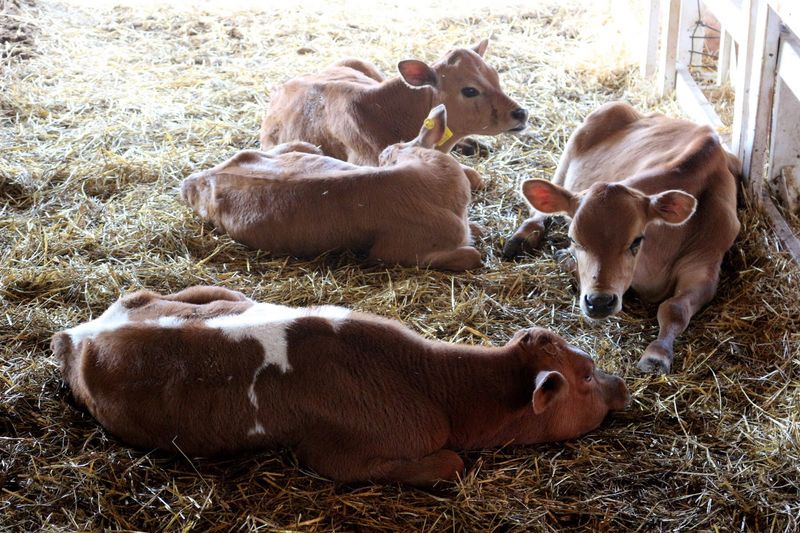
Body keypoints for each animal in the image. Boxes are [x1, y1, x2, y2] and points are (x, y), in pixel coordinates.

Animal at [503, 101, 740, 374]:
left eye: (636, 241)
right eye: (574, 239)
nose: (599, 302)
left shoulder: (705, 268)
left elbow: (675, 309)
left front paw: (657, 354)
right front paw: (566, 258)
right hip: (574, 146)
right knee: (545, 203)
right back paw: (522, 238)